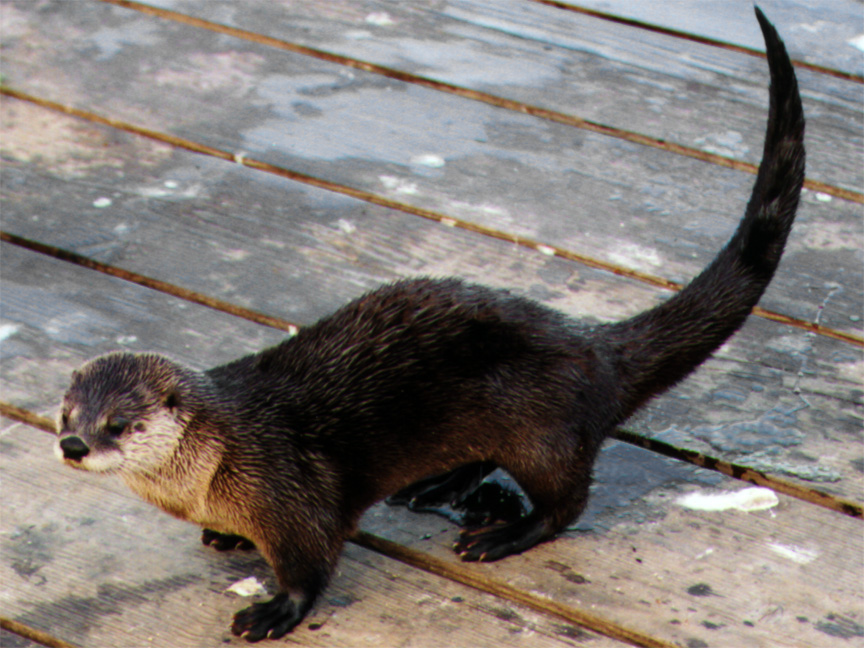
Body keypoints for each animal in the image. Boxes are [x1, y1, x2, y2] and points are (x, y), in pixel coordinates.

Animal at [57, 10, 808, 644]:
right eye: (67, 410)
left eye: (119, 423)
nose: (71, 445)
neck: (215, 462)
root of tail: (592, 348)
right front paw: (225, 536)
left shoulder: (287, 488)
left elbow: (312, 562)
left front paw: (272, 610)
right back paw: (437, 486)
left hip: (541, 427)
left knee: (567, 501)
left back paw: (503, 532)